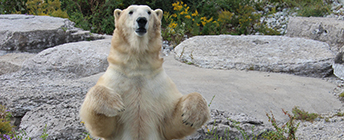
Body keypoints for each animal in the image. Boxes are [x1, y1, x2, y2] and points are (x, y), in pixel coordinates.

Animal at [80, 4, 210, 139]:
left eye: (149, 12)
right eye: (130, 12)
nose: (141, 20)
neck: (138, 68)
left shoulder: (159, 87)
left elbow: (171, 122)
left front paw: (192, 116)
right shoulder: (115, 80)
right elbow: (103, 125)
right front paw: (114, 104)